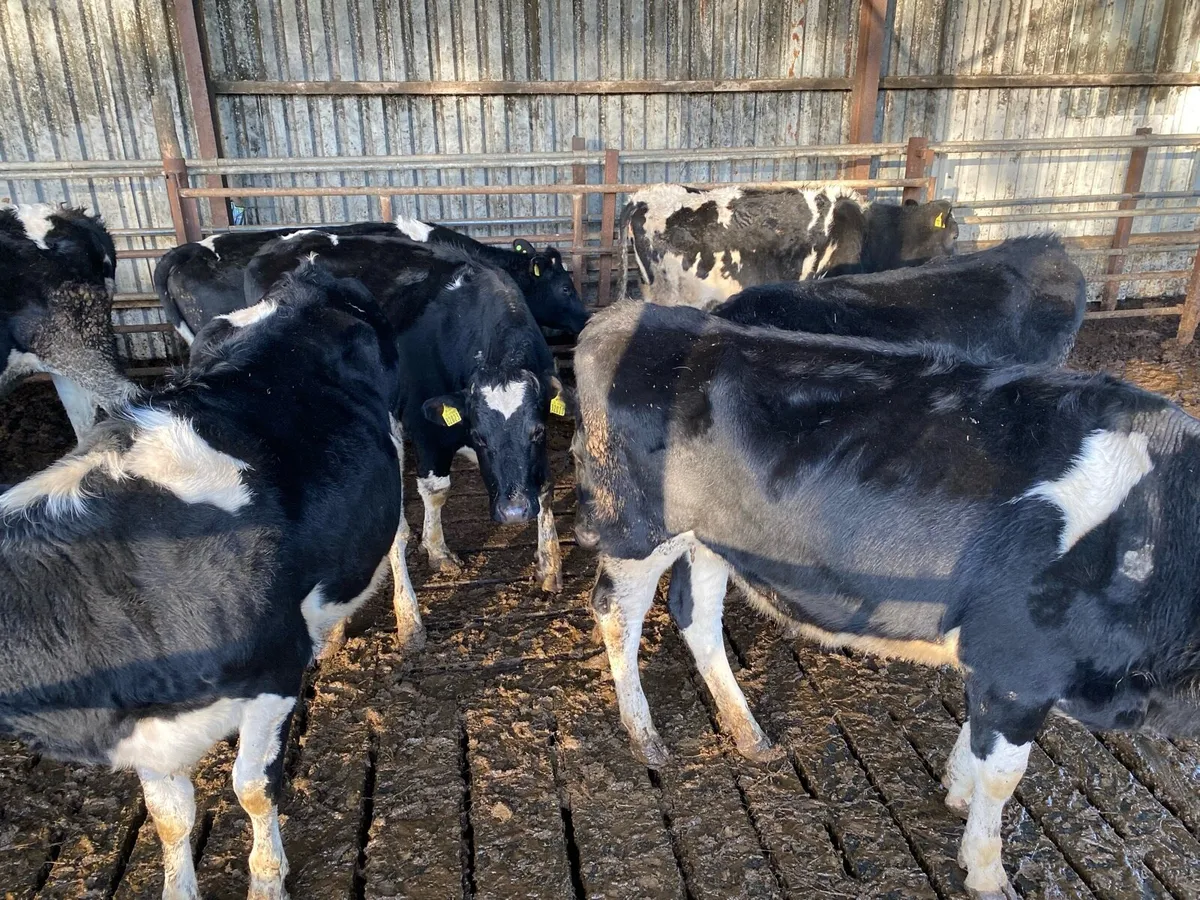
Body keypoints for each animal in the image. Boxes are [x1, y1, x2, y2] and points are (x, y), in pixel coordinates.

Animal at [0, 263, 408, 900]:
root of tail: (304, 276)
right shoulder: (146, 725)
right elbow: (169, 817)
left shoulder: (272, 676)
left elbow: (252, 788)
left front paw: (267, 879)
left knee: (398, 534)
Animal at [247, 232, 567, 647]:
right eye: (480, 437)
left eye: (537, 431)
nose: (514, 512)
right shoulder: (424, 426)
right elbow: (435, 492)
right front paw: (431, 565)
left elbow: (545, 487)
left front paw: (549, 565)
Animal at [572, 299, 1200, 899]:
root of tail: (625, 316)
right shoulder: (1020, 664)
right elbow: (1003, 775)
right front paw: (986, 871)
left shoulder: (994, 663)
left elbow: (975, 741)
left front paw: (954, 791)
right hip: (633, 528)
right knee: (616, 613)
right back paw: (645, 737)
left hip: (711, 538)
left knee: (697, 616)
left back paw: (749, 733)